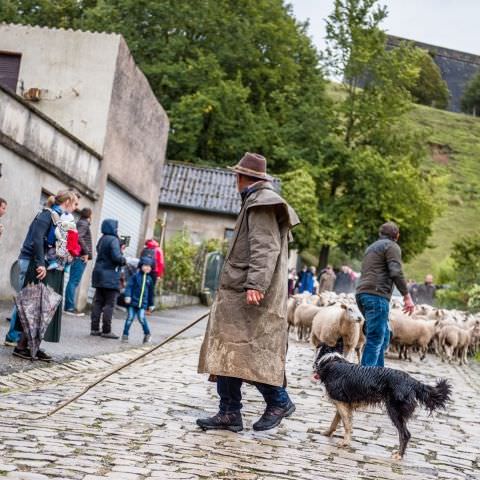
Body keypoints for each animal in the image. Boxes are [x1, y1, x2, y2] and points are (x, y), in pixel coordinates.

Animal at [314, 340, 452, 460]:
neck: (330, 359)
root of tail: (412, 381)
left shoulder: (341, 402)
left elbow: (347, 424)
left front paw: (345, 443)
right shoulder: (342, 403)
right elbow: (336, 421)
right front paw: (327, 433)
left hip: (394, 410)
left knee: (405, 434)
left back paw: (399, 455)